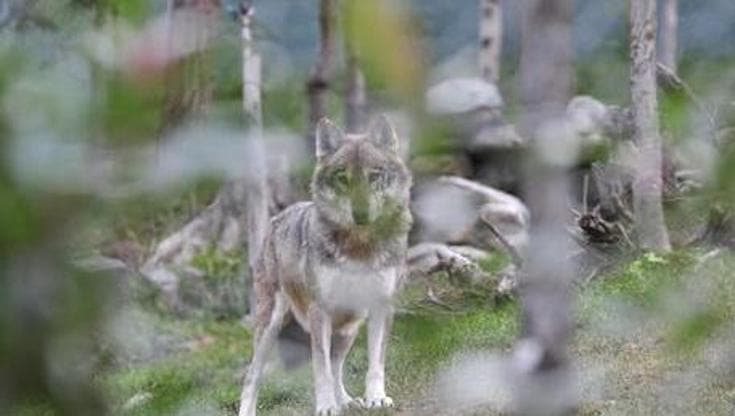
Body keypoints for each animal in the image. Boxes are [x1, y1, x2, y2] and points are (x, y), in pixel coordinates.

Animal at [238, 115, 413, 416]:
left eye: (374, 176)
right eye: (343, 177)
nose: (361, 214)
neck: (359, 248)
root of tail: (277, 218)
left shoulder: (382, 305)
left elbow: (374, 364)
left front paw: (376, 399)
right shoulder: (319, 310)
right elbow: (321, 370)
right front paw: (326, 407)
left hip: (349, 326)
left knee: (337, 364)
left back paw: (347, 401)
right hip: (270, 327)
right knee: (252, 376)